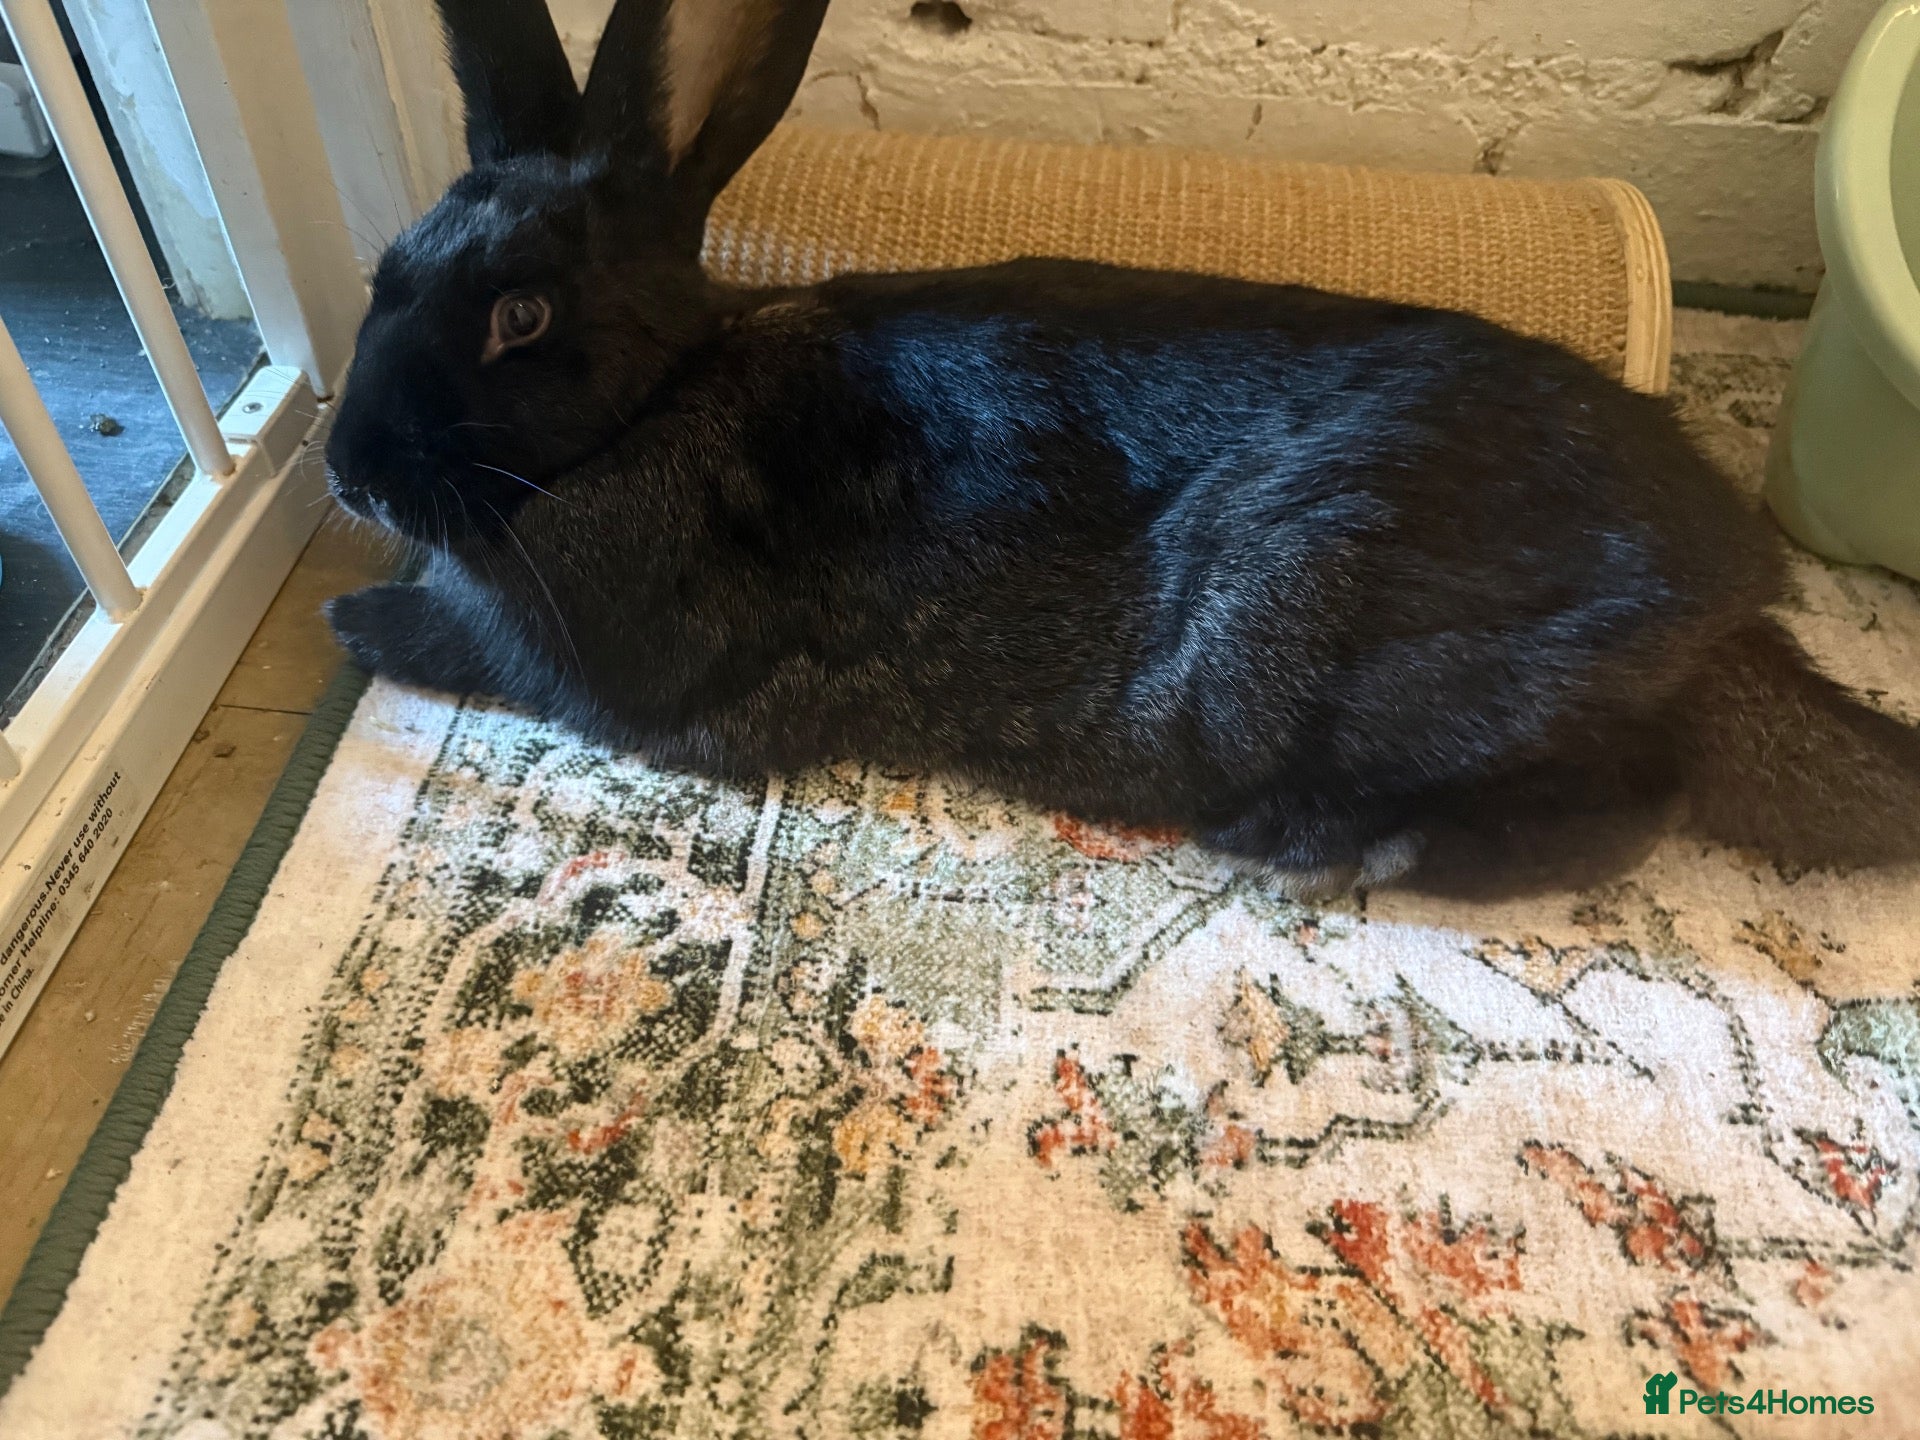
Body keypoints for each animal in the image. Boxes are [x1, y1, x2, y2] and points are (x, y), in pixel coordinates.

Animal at [325, 0, 1920, 893]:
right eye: (385, 272)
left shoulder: (604, 667)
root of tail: (1732, 605)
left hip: (1339, 648)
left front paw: (354, 621)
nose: (345, 472)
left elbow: (458, 646)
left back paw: (1334, 846)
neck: (657, 404)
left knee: (1628, 807)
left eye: (522, 313)